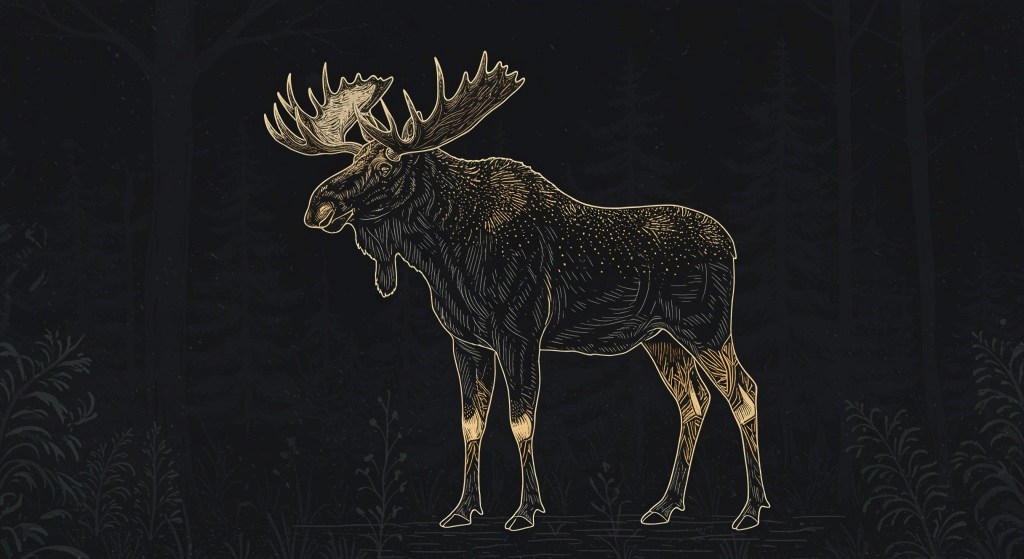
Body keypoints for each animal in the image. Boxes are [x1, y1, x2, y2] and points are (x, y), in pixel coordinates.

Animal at [264, 52, 770, 532]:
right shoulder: (466, 341)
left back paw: (751, 509)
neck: (446, 256)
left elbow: (521, 421)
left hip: (706, 328)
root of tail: (730, 246)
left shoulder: (519, 331)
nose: (318, 206)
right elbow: (471, 424)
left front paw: (526, 511)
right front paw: (462, 510)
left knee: (744, 392)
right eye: (351, 161)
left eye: (388, 165)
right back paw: (665, 505)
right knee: (694, 402)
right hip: (661, 338)